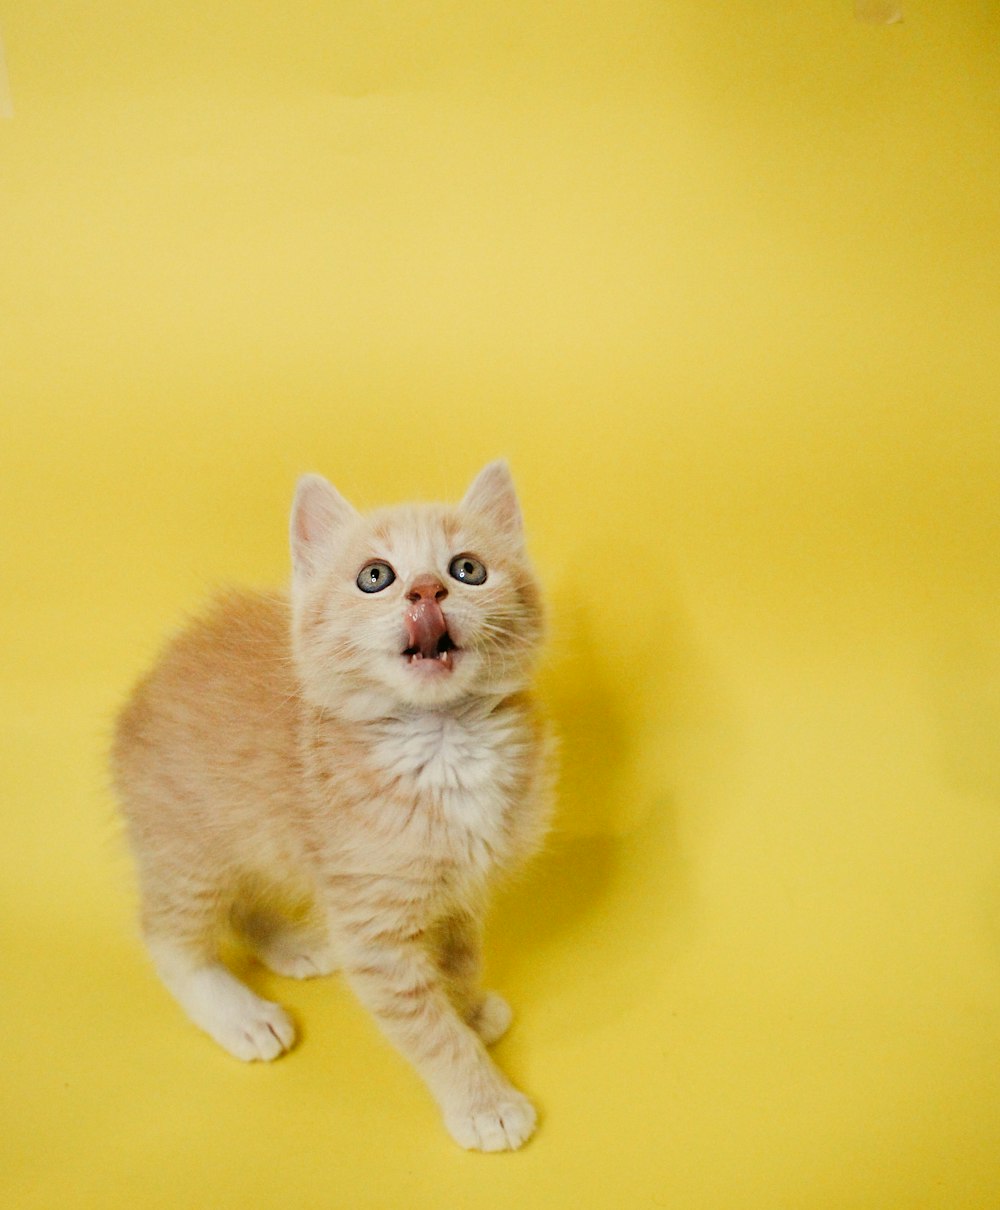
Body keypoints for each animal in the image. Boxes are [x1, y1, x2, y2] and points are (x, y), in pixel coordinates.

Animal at [113, 462, 556, 1151]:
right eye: (376, 577)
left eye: (467, 569)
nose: (426, 590)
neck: (442, 742)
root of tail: (142, 691)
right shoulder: (373, 927)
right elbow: (429, 1030)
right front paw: (485, 1101)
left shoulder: (458, 894)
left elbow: (460, 962)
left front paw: (470, 1009)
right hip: (188, 842)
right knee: (168, 934)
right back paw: (239, 1015)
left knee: (246, 898)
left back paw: (294, 945)